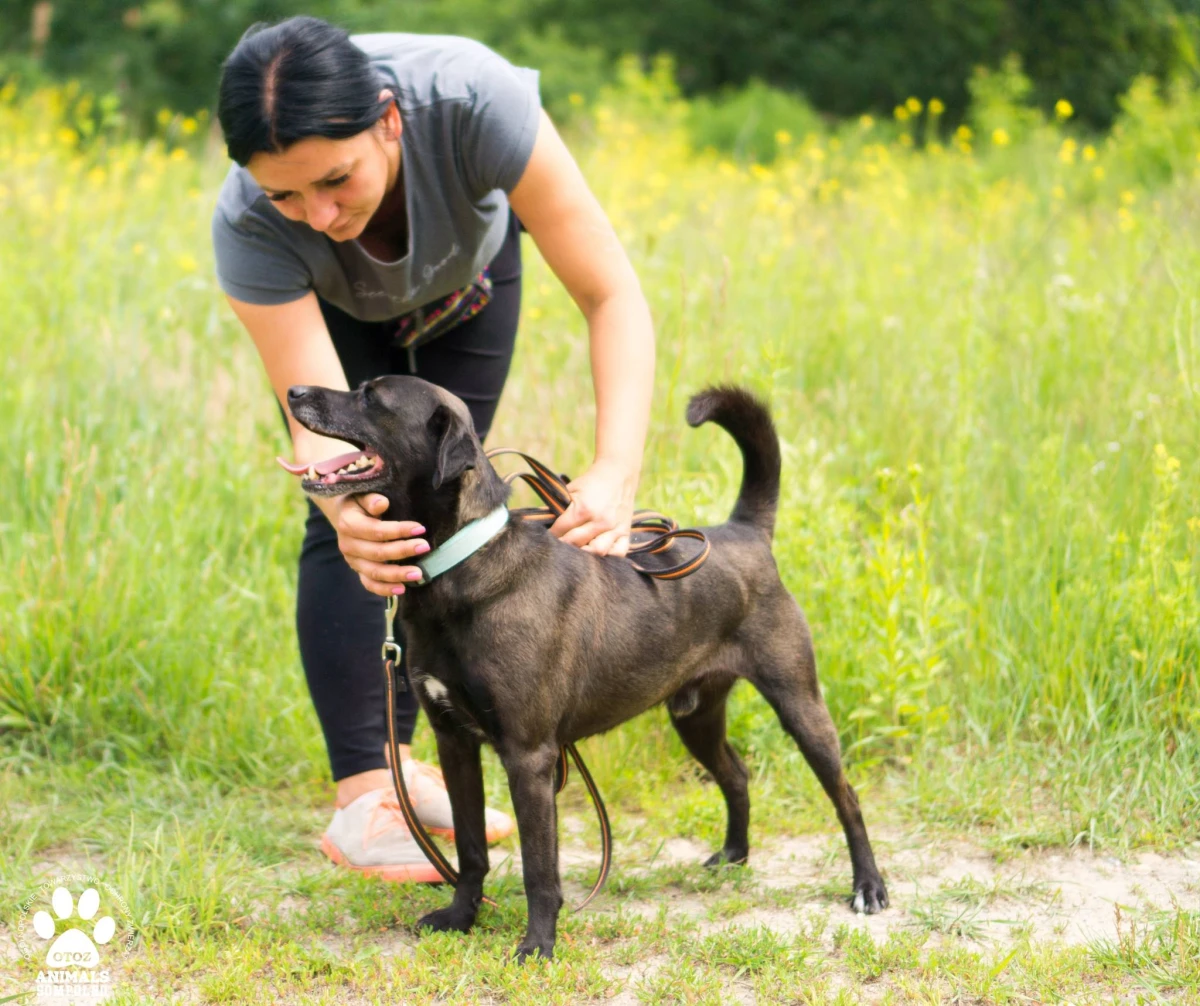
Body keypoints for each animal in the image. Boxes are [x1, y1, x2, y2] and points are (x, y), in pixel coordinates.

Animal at [283, 376, 888, 961]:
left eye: (372, 396)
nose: (294, 393)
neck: (461, 564)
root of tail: (744, 531)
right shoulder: (454, 743)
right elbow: (471, 848)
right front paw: (461, 917)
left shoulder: (529, 758)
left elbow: (538, 869)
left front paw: (537, 946)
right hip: (694, 716)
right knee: (736, 774)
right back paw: (734, 855)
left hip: (799, 705)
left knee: (847, 797)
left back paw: (868, 887)